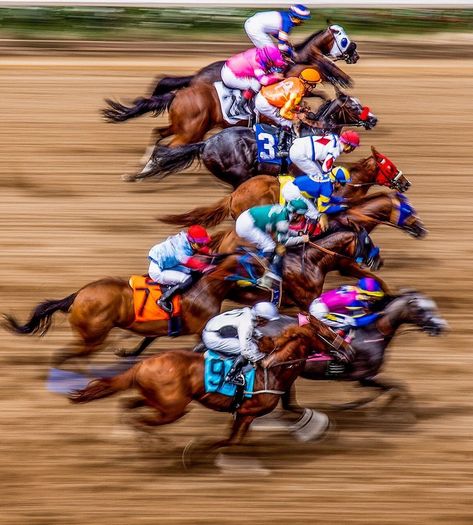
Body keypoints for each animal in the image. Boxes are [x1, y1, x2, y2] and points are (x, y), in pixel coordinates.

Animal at [2, 252, 266, 366]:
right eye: (256, 268)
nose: (269, 283)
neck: (207, 288)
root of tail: (78, 296)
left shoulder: (159, 327)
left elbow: (145, 343)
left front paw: (127, 353)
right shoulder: (200, 326)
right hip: (94, 336)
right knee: (72, 353)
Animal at [69, 316, 350, 450]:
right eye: (326, 333)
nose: (348, 351)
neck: (274, 368)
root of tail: (143, 364)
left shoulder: (252, 411)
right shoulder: (246, 412)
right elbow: (231, 441)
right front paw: (199, 447)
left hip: (159, 401)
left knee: (129, 407)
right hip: (172, 409)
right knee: (141, 419)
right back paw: (155, 443)